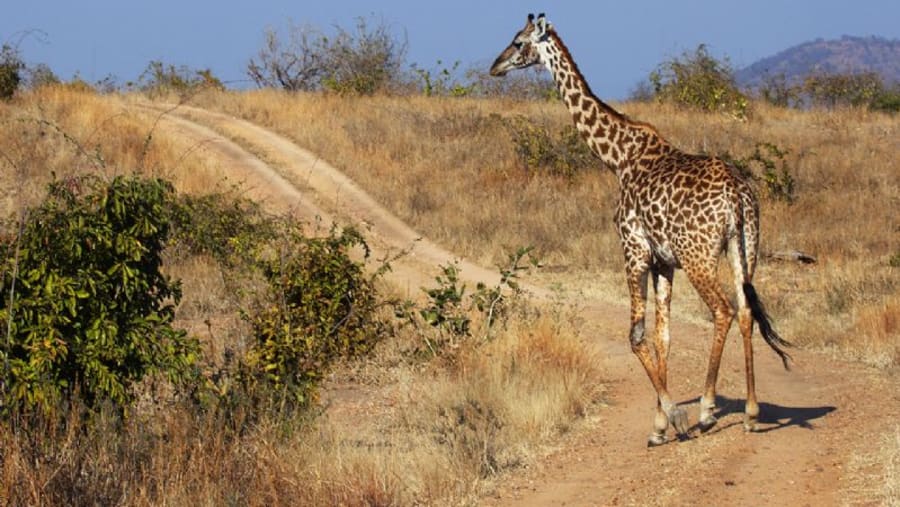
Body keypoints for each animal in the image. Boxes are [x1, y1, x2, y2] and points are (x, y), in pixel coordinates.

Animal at [490, 13, 791, 446]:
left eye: (517, 42)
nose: (494, 66)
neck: (617, 157)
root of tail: (737, 194)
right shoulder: (664, 261)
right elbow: (663, 336)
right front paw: (659, 426)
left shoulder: (633, 249)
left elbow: (635, 335)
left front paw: (674, 417)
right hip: (745, 247)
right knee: (747, 310)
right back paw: (751, 413)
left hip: (699, 256)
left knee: (723, 310)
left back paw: (707, 410)